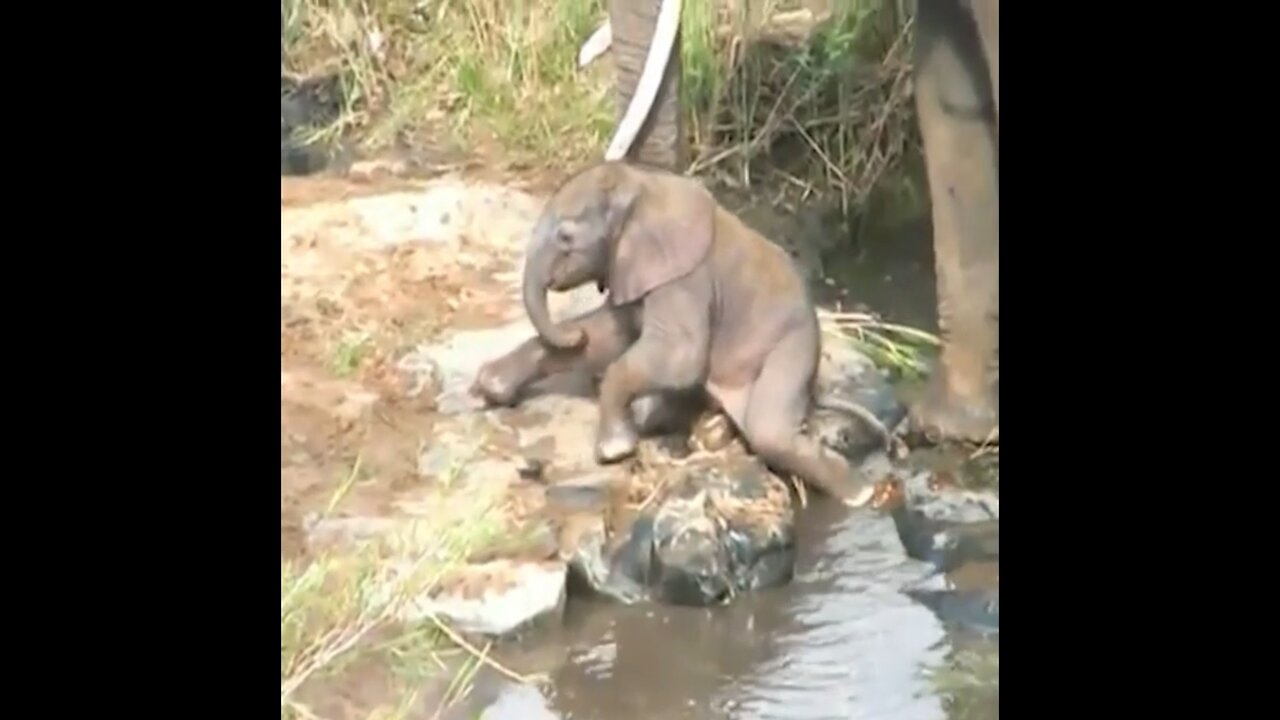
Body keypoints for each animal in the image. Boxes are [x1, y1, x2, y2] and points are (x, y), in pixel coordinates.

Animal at [471, 158, 880, 504]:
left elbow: (679, 357)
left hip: (794, 344)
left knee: (770, 432)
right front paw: (490, 387)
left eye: (566, 237)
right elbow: (609, 335)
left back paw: (860, 495)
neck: (637, 186)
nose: (569, 336)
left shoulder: (686, 280)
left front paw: (614, 450)